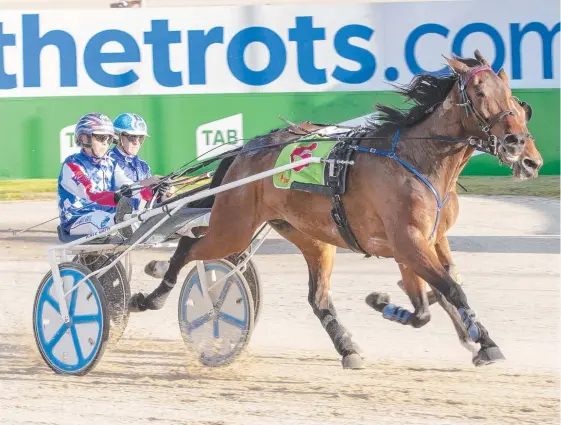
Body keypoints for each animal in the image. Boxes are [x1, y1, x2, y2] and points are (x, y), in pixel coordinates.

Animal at [129, 49, 540, 368]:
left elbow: (443, 290)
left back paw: (347, 348)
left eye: (513, 95)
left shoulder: (429, 241)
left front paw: (479, 341)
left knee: (318, 297)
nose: (519, 147)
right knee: (189, 246)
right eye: (480, 91)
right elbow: (443, 295)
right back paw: (151, 294)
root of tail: (245, 150)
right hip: (234, 226)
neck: (419, 159)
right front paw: (387, 303)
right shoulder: (408, 242)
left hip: (310, 236)